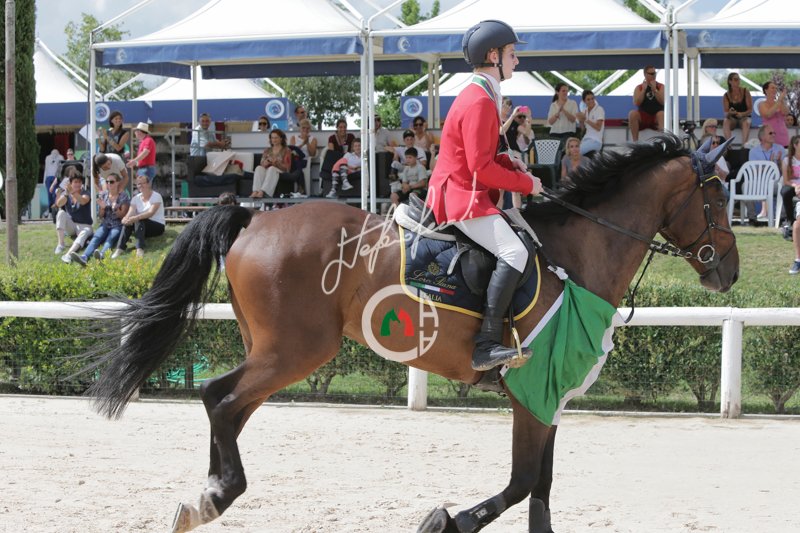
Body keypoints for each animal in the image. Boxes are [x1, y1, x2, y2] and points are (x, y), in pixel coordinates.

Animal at [82, 135, 738, 533]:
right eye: (716, 196)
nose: (727, 271)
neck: (578, 253)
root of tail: (251, 219)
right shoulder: (532, 392)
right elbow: (524, 481)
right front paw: (446, 520)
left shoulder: (548, 396)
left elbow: (541, 488)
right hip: (295, 350)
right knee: (218, 397)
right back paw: (217, 493)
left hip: (272, 350)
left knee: (229, 406)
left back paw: (207, 493)